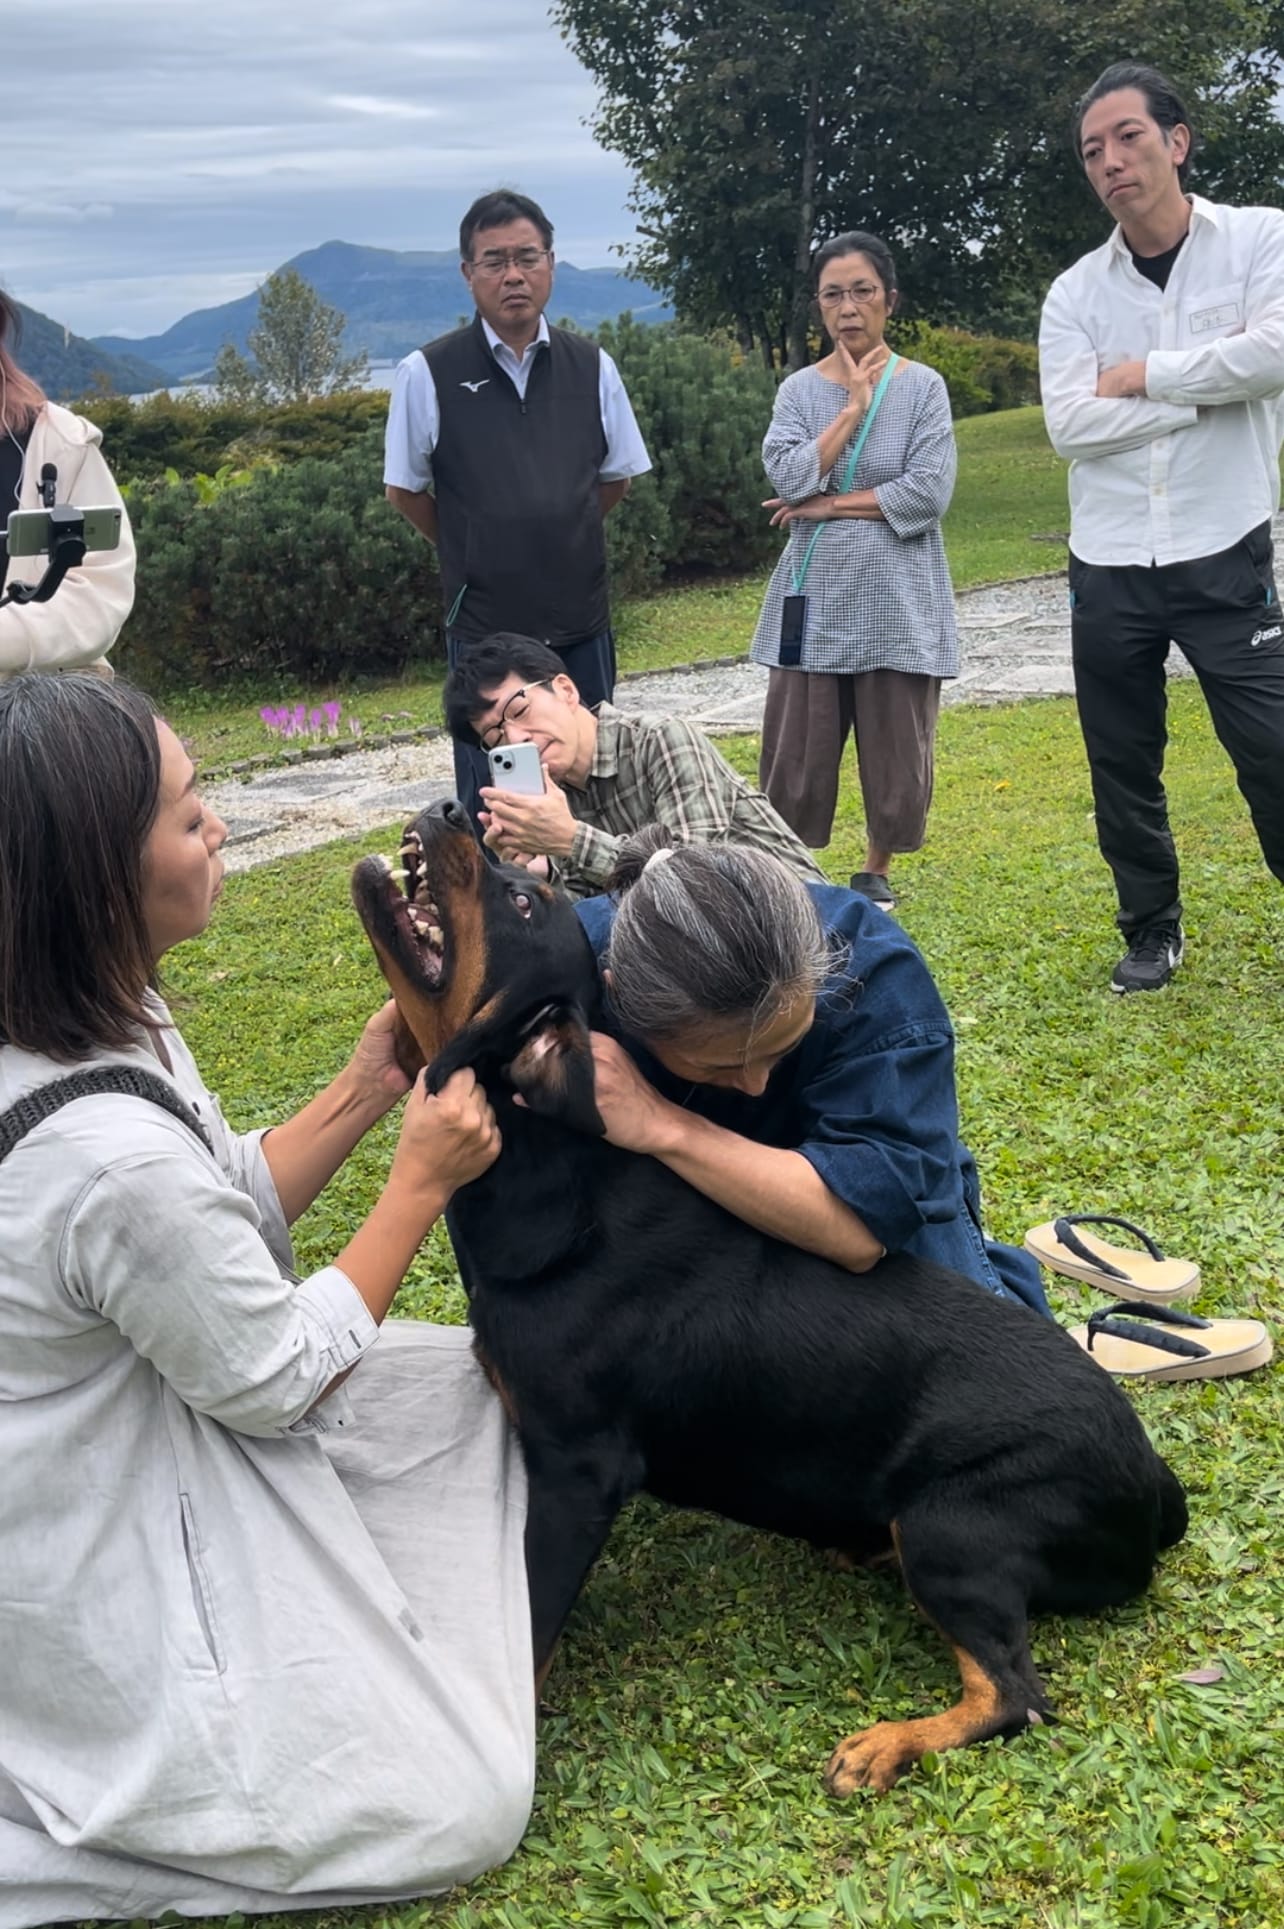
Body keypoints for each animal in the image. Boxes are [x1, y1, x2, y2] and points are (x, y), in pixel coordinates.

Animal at [351, 800, 1187, 1793]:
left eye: (521, 899)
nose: (449, 807)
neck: (547, 1173)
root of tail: (1155, 1483)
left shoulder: (578, 1470)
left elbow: (529, 1624)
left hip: (951, 1526)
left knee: (1013, 1695)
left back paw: (886, 1743)